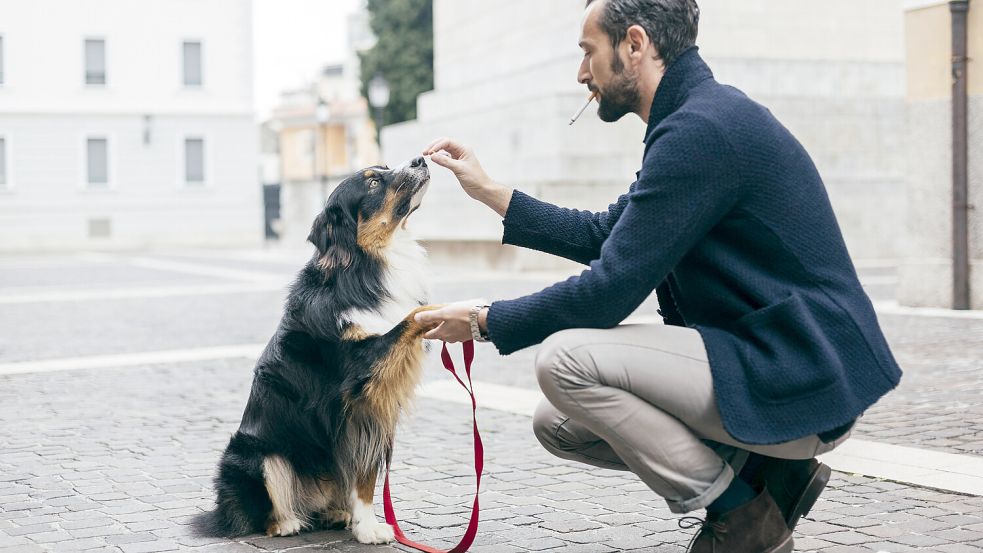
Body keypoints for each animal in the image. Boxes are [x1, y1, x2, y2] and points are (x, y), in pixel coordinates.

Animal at [192, 156, 434, 544]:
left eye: (383, 168)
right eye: (372, 183)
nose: (420, 159)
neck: (364, 266)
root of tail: (222, 512)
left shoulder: (372, 402)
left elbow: (364, 476)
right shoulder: (358, 384)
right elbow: (409, 318)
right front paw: (368, 528)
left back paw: (334, 513)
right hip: (256, 457)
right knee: (263, 510)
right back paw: (286, 523)